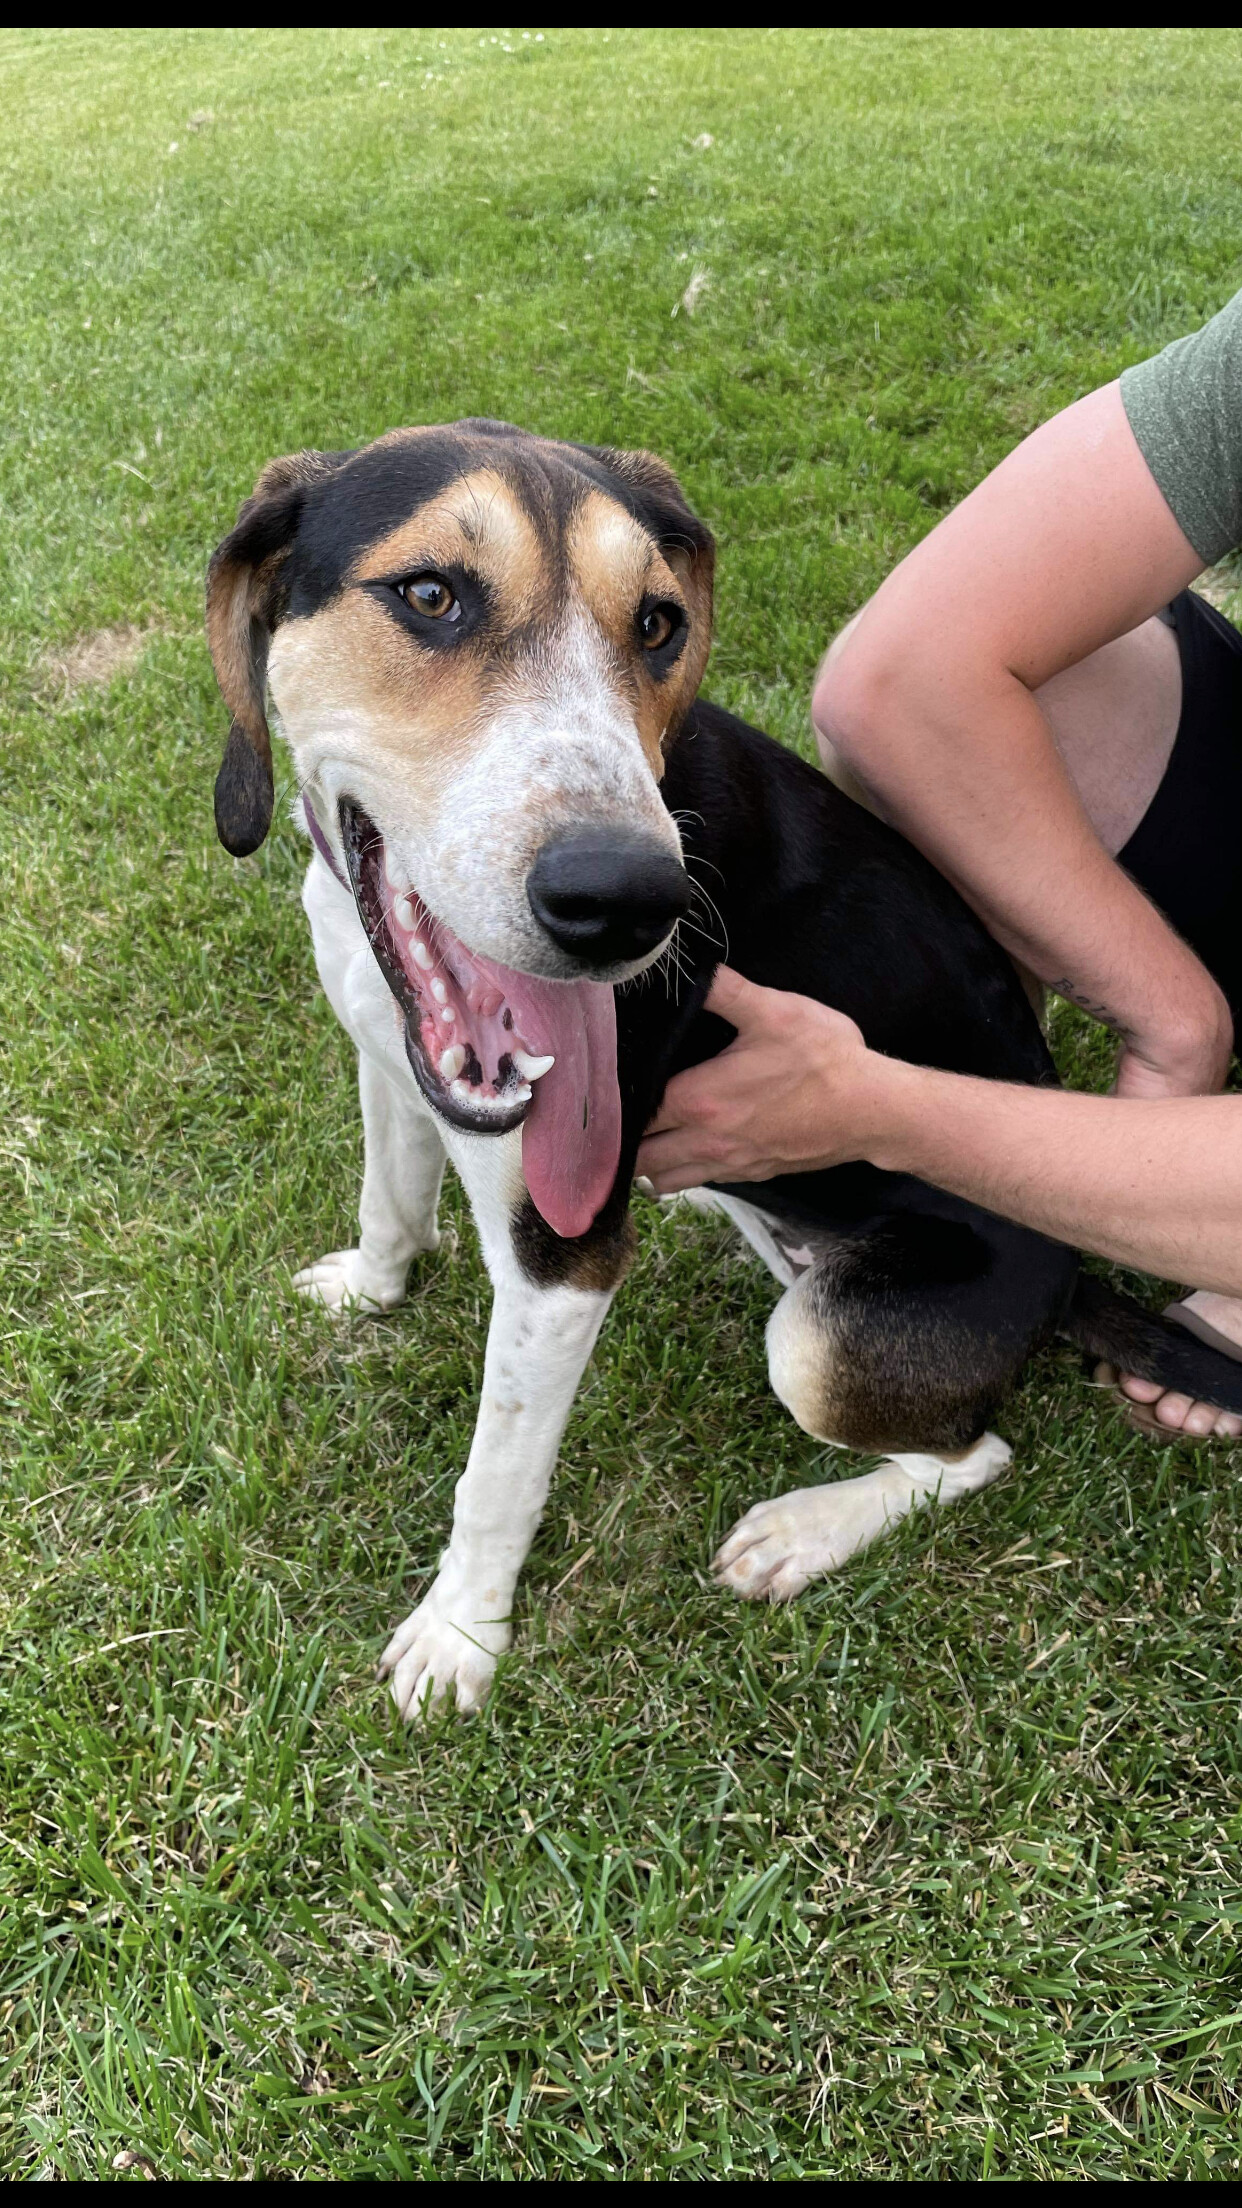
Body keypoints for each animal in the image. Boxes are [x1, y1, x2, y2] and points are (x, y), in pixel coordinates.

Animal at [203, 417, 1237, 1722]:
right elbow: (388, 1203)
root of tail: (1074, 1278)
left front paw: (461, 1633)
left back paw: (802, 1531)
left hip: (820, 1340)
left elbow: (497, 1470)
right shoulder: (388, 1065)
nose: (627, 903)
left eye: (657, 623)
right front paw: (370, 1290)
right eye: (429, 594)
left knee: (974, 1450)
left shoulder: (563, 1254)